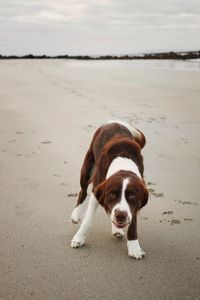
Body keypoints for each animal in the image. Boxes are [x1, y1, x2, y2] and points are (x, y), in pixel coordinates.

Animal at [70, 120, 148, 258]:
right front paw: (79, 238)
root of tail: (113, 122)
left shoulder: (134, 204)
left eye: (132, 196)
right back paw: (76, 214)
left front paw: (134, 247)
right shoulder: (97, 191)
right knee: (82, 191)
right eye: (112, 194)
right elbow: (88, 220)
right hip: (87, 167)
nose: (121, 215)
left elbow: (132, 224)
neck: (123, 164)